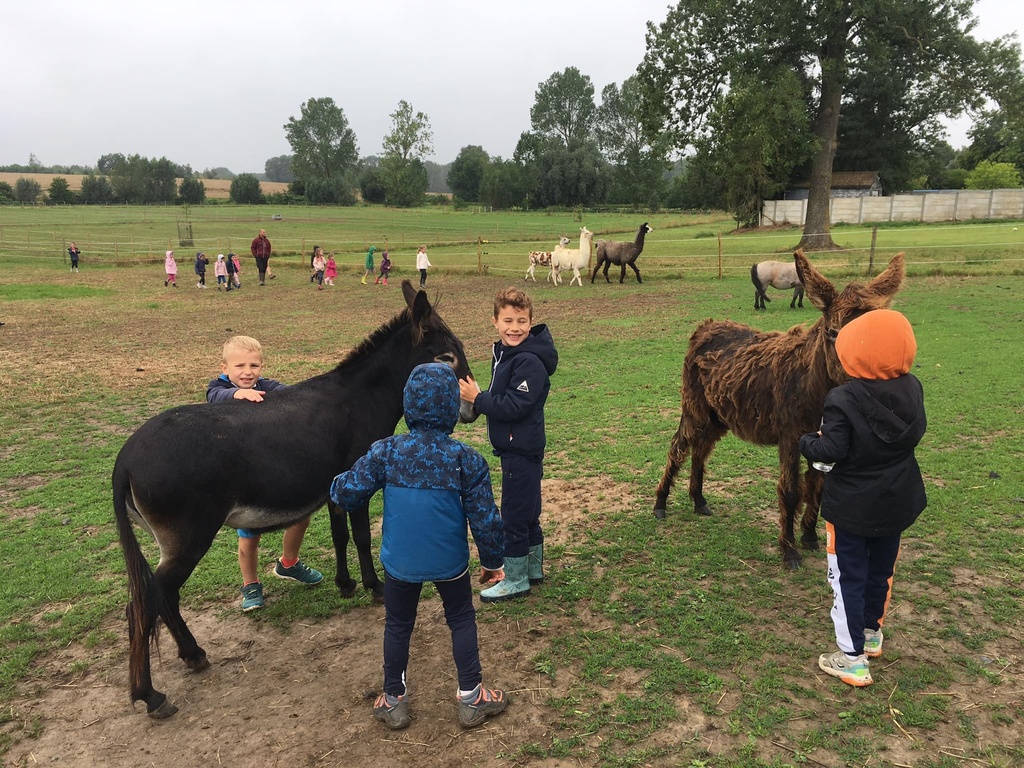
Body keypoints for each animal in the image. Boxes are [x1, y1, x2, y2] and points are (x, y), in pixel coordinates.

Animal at [655, 249, 905, 569]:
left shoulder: (824, 441)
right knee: (679, 446)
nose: (868, 387)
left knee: (700, 449)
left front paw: (809, 536)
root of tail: (707, 326)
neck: (812, 385)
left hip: (719, 414)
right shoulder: (790, 435)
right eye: (833, 333)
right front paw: (790, 551)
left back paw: (699, 501)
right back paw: (660, 504)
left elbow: (817, 486)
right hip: (695, 406)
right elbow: (790, 490)